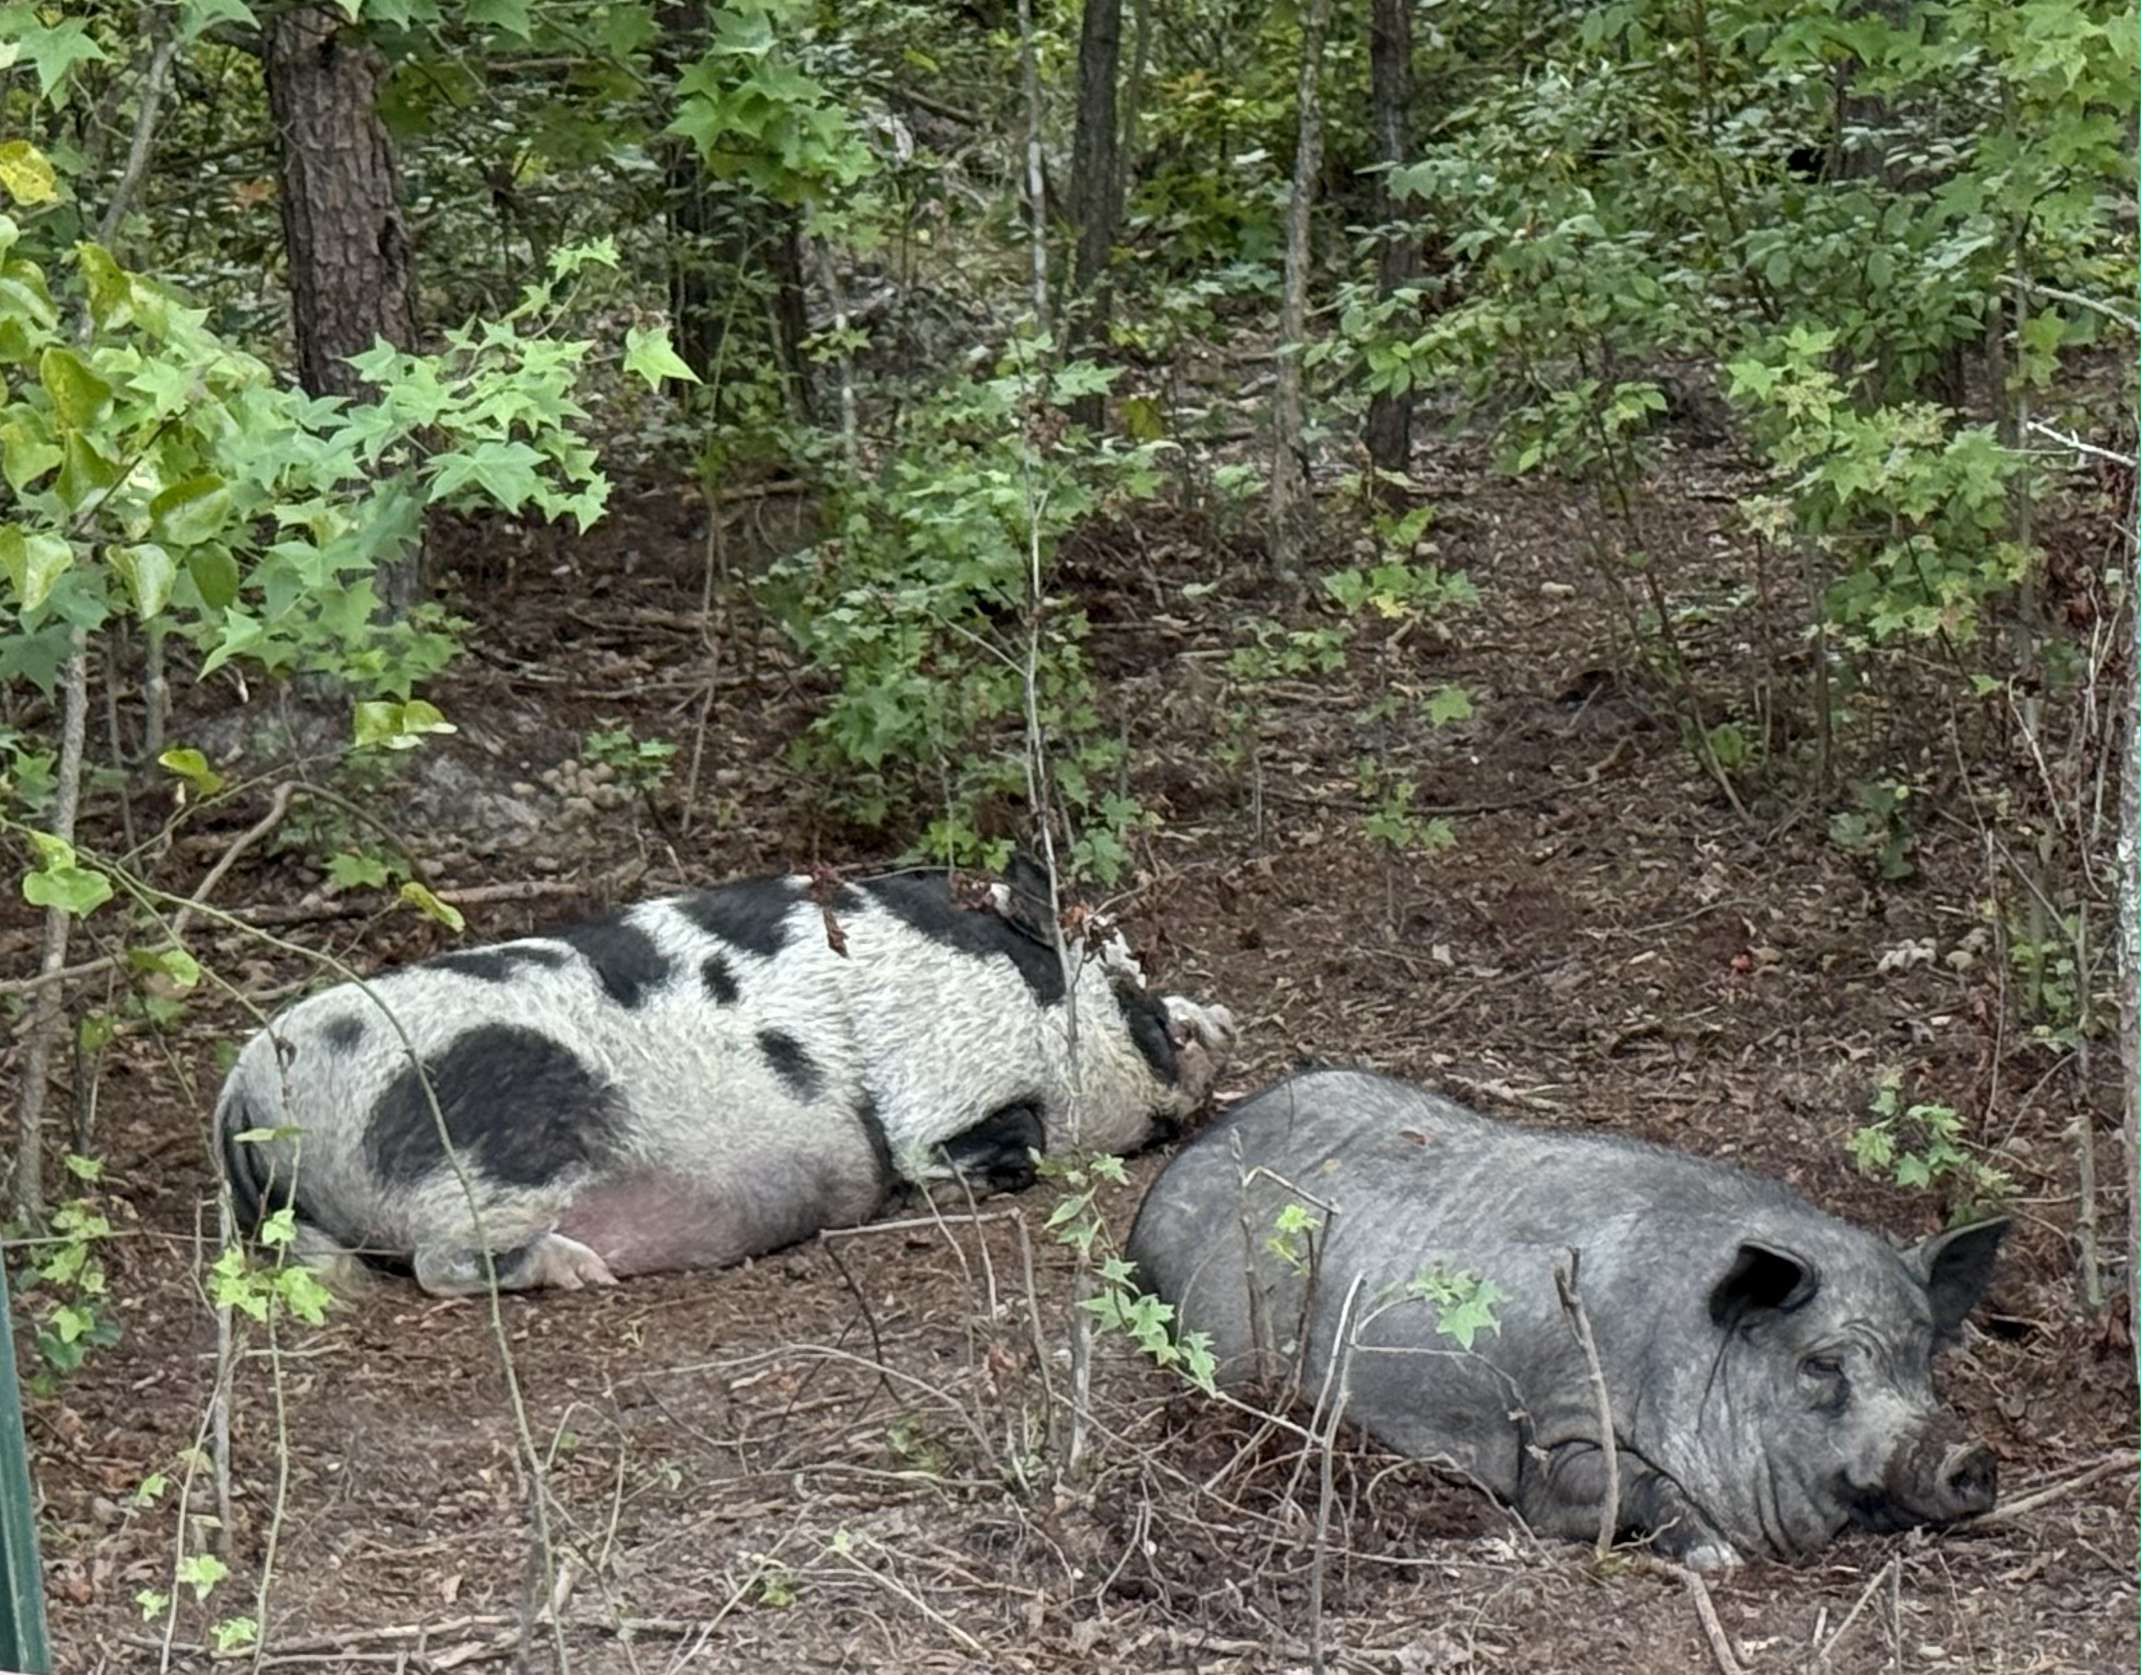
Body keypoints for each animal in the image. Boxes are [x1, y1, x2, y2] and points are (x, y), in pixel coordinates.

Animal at [218, 858, 1236, 1297]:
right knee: (438, 1262)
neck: (1027, 994)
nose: (1218, 1019)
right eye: (1133, 986)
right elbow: (953, 1145)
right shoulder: (938, 1083)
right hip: (493, 1139)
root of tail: (248, 1086)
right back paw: (583, 1271)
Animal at [1126, 1068, 2007, 1569]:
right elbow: (1630, 1486)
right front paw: (1717, 1558)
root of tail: (1176, 1173)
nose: (1968, 1453)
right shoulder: (1555, 1435)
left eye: (1921, 1358)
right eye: (1821, 1364)